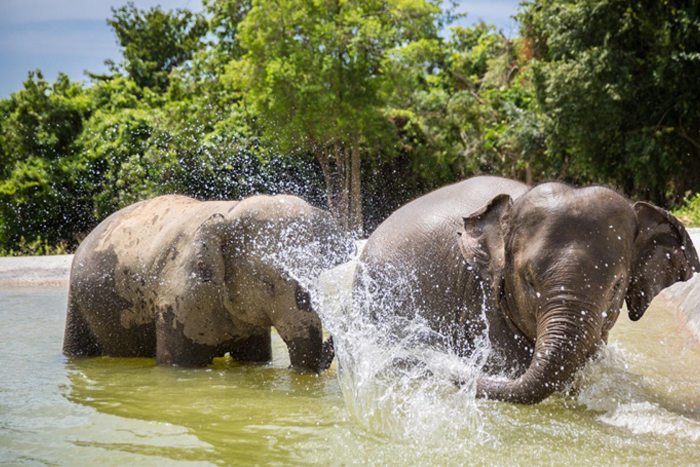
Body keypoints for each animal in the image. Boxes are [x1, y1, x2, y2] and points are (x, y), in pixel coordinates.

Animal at [62, 194, 352, 372]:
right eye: (267, 282)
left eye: (318, 277)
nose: (332, 342)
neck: (230, 211)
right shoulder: (178, 298)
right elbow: (179, 364)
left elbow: (255, 358)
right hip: (77, 302)